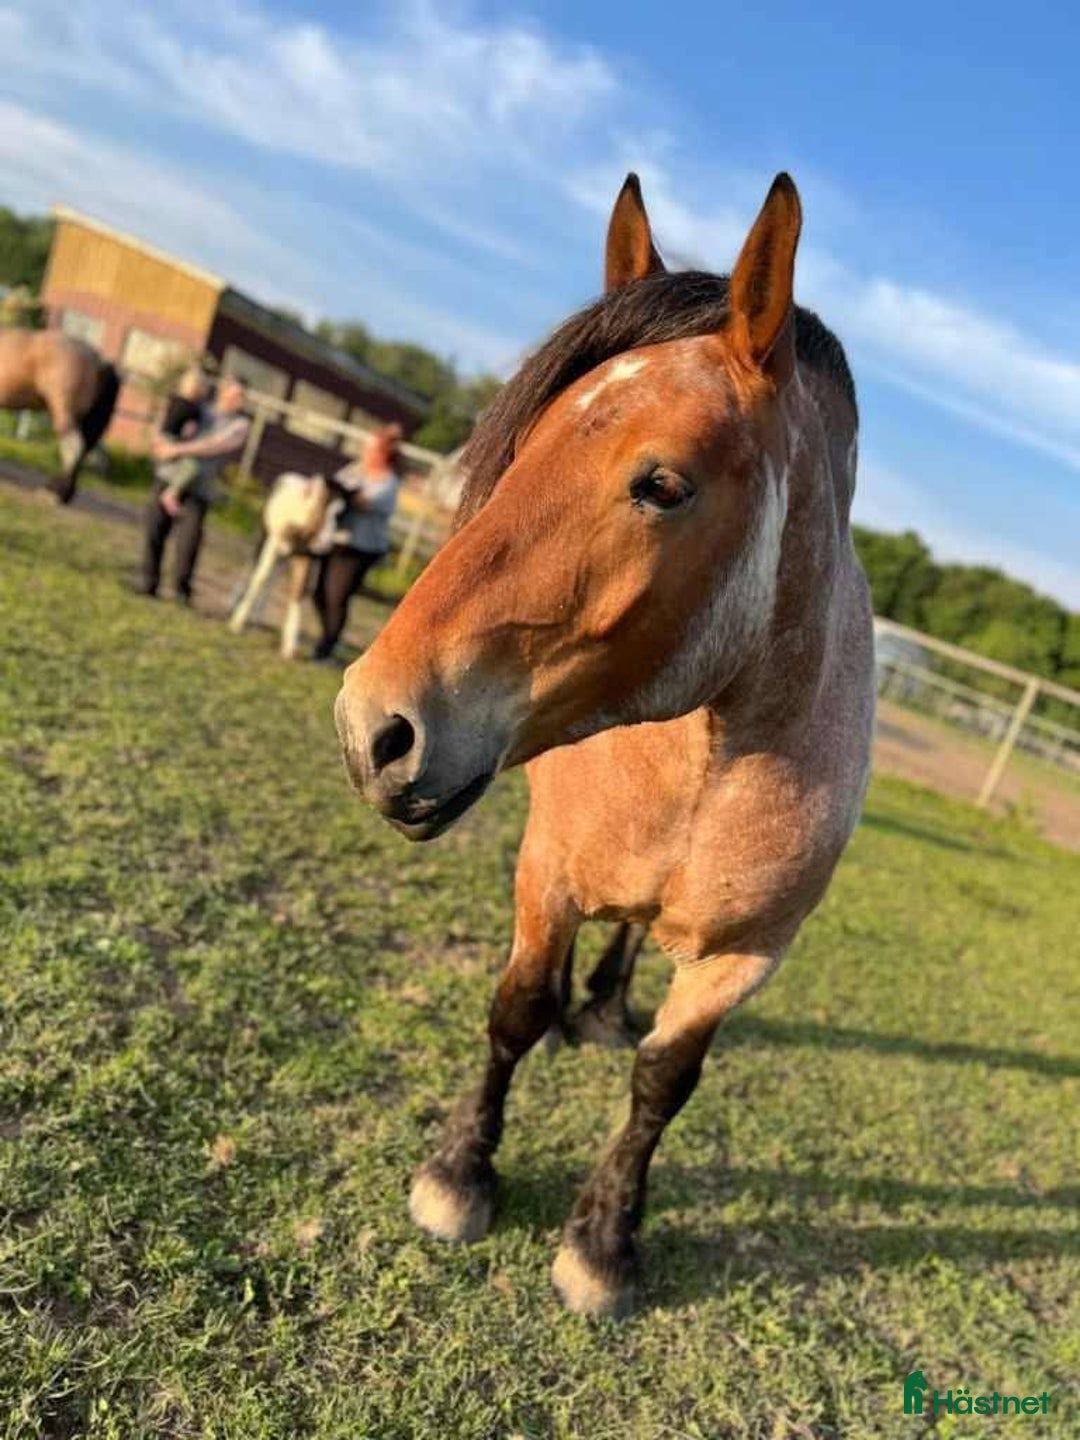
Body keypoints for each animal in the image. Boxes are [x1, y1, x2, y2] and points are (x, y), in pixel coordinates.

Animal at [0, 329, 120, 503]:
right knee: (88, 450)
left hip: (65, 415)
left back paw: (54, 492)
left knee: (73, 447)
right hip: (81, 420)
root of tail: (99, 361)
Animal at [228, 472, 336, 659]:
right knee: (254, 565)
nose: (327, 546)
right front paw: (236, 624)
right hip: (264, 534)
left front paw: (289, 647)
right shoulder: (273, 541)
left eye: (338, 515)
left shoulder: (304, 555)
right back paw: (236, 604)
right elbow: (260, 577)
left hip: (285, 556)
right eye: (320, 509)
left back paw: (257, 619)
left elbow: (298, 590)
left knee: (274, 578)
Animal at [334, 170, 875, 1317]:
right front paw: (458, 1177)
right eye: (523, 447)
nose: (374, 730)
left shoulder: (746, 960)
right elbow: (514, 1008)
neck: (708, 750)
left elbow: (665, 1081)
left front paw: (602, 1242)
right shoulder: (546, 873)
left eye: (660, 485)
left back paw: (611, 1006)